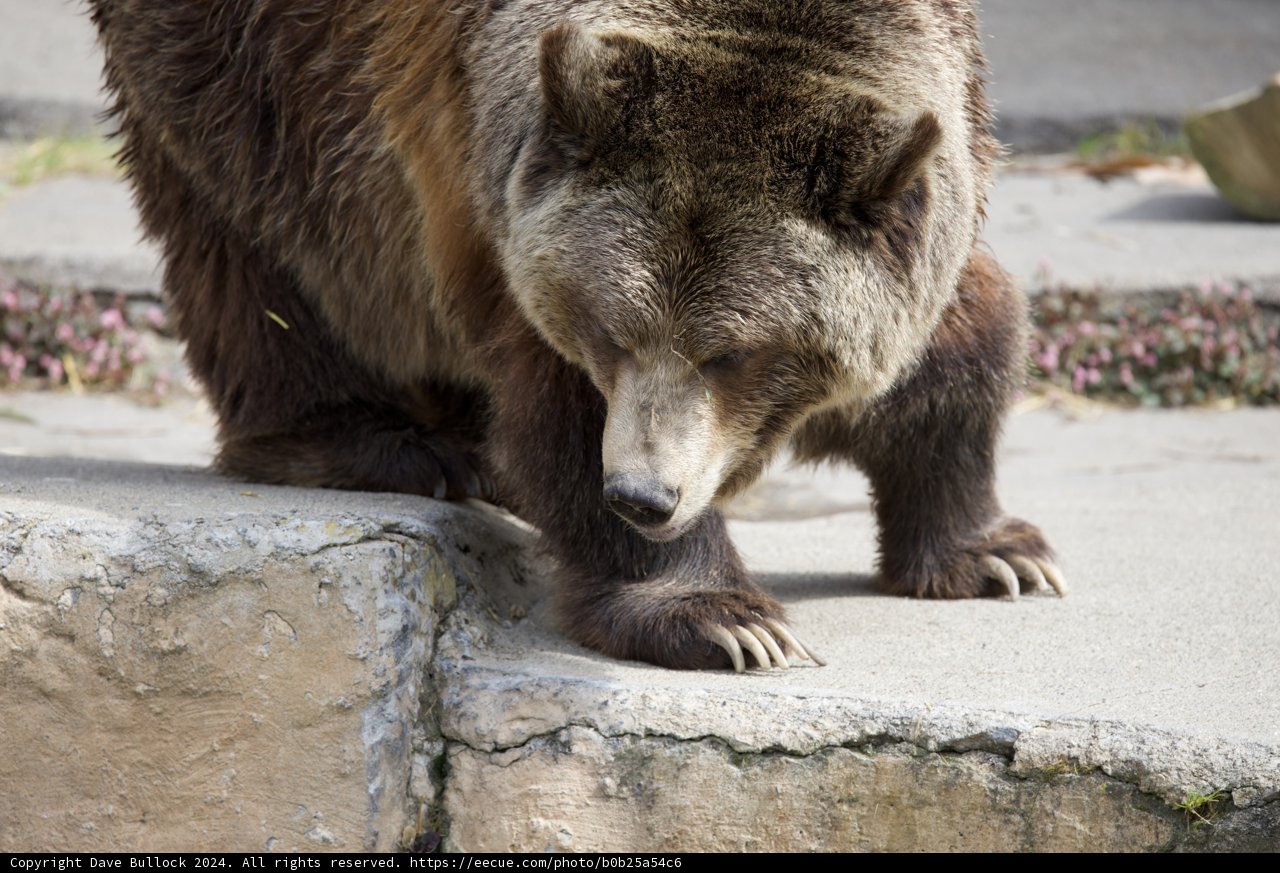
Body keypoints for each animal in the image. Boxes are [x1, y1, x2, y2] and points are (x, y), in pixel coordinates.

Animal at [88, 0, 1063, 672]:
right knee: (258, 242)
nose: (644, 494)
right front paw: (724, 619)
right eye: (613, 330)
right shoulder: (500, 208)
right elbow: (559, 419)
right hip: (258, 84)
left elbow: (959, 353)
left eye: (735, 352)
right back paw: (374, 440)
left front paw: (998, 555)